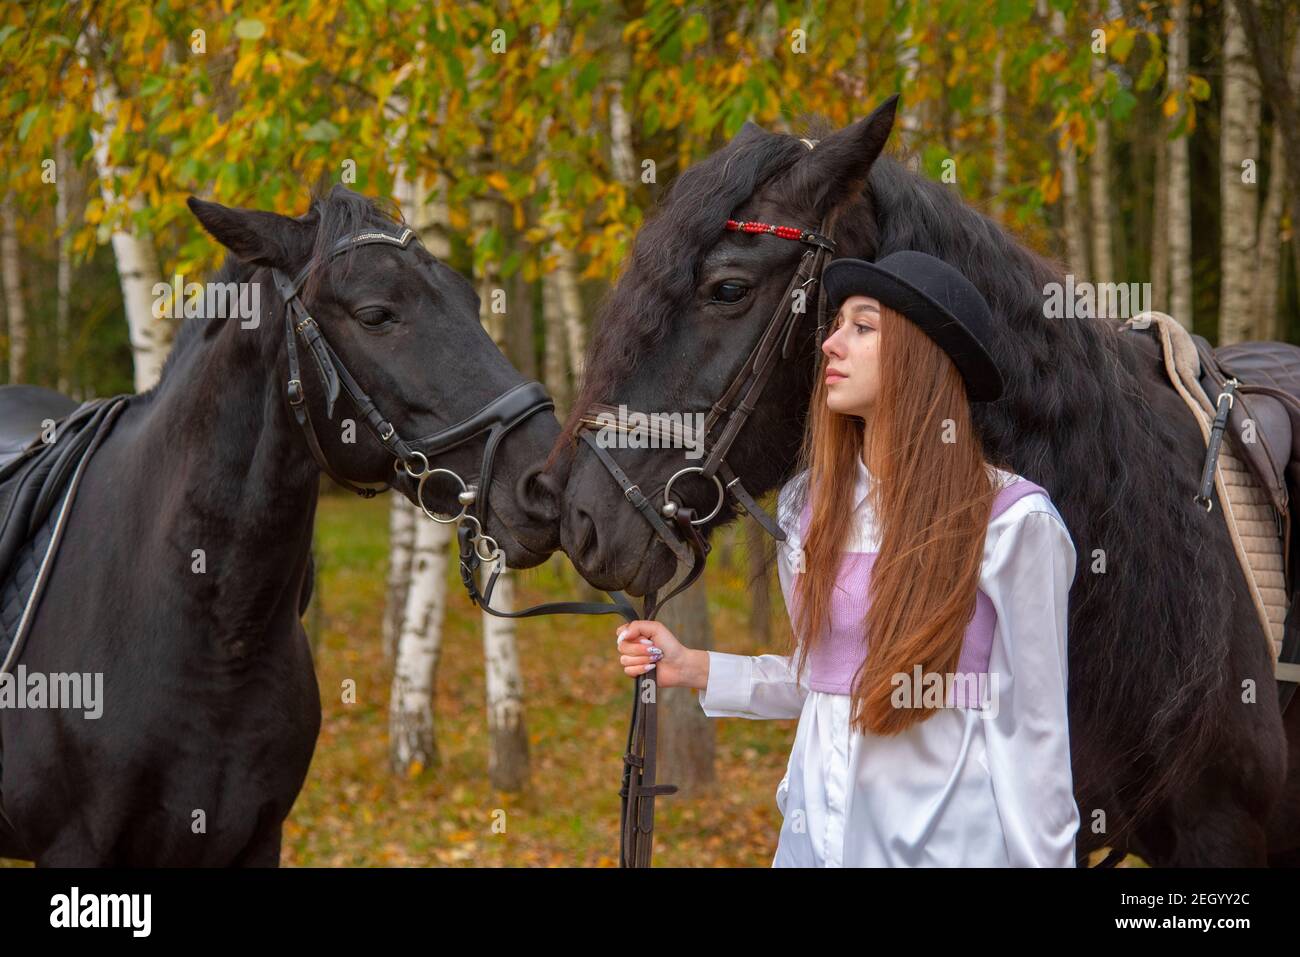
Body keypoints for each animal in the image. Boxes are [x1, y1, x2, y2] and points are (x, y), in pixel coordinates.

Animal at [0, 187, 561, 868]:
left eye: (472, 301)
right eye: (376, 314)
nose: (548, 483)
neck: (215, 643)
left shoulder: (256, 838)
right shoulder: (74, 847)